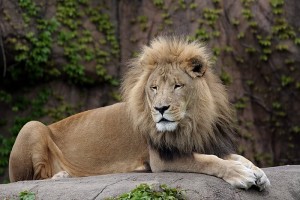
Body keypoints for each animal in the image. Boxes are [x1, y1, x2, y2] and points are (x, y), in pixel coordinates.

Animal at [8, 36, 270, 191]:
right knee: (27, 179)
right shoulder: (162, 158)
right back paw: (62, 176)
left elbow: (236, 156)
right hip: (32, 126)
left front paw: (258, 173)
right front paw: (240, 174)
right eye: (153, 88)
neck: (193, 122)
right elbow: (209, 161)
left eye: (177, 86)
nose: (160, 109)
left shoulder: (206, 142)